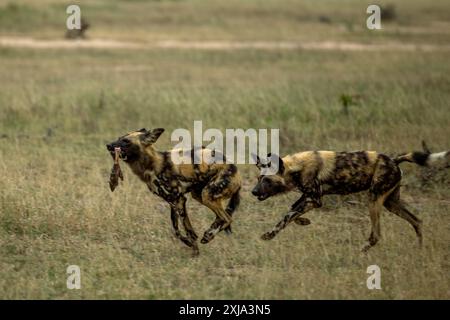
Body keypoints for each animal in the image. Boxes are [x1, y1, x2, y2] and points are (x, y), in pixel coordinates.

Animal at [105, 127, 241, 255]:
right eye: (119, 138)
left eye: (126, 141)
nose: (108, 145)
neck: (151, 165)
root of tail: (234, 168)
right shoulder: (172, 202)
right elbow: (177, 230)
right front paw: (190, 245)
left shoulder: (179, 200)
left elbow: (187, 229)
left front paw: (195, 251)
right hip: (200, 195)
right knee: (223, 217)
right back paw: (210, 231)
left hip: (207, 195)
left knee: (227, 218)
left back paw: (208, 235)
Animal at [250, 150, 436, 252]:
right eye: (259, 178)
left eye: (267, 180)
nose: (253, 192)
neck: (297, 168)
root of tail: (394, 160)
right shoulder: (309, 198)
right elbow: (292, 212)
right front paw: (304, 221)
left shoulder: (314, 199)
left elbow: (286, 217)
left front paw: (268, 235)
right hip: (391, 203)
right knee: (417, 221)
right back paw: (420, 250)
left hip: (373, 200)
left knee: (376, 235)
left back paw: (359, 252)